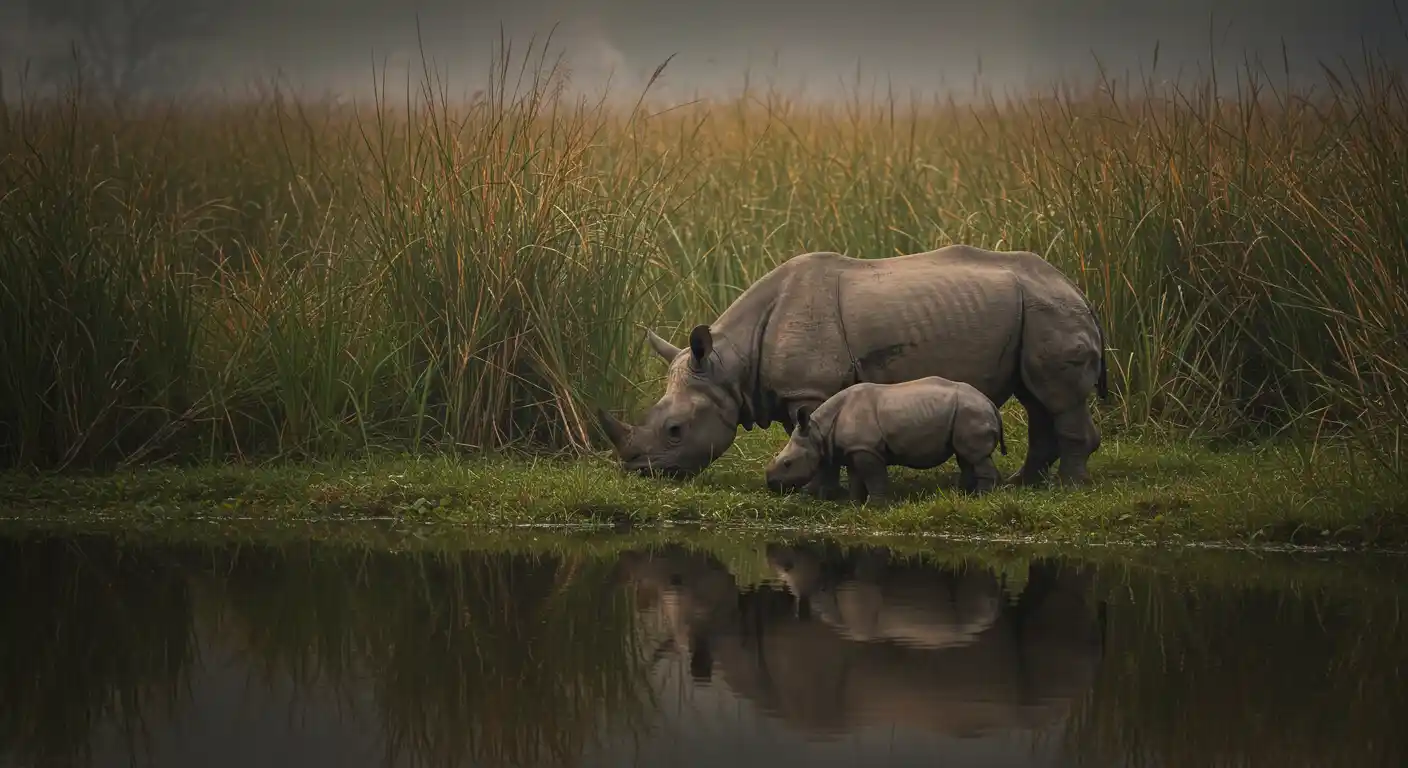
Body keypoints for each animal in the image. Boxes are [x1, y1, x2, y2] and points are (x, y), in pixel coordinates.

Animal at [597, 244, 1108, 486]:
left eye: (675, 430)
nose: (639, 471)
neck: (731, 363)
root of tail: (1077, 288)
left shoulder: (809, 389)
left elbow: (806, 431)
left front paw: (817, 491)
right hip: (1035, 310)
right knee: (1036, 397)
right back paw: (1026, 484)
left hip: (1049, 309)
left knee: (1056, 399)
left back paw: (1068, 487)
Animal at [765, 376, 1008, 504]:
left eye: (787, 463)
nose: (771, 484)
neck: (818, 430)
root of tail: (990, 404)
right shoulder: (855, 448)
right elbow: (856, 478)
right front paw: (854, 504)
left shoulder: (867, 449)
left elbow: (874, 477)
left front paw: (875, 506)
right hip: (965, 413)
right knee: (965, 455)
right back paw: (963, 495)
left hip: (971, 411)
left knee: (975, 456)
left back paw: (981, 497)